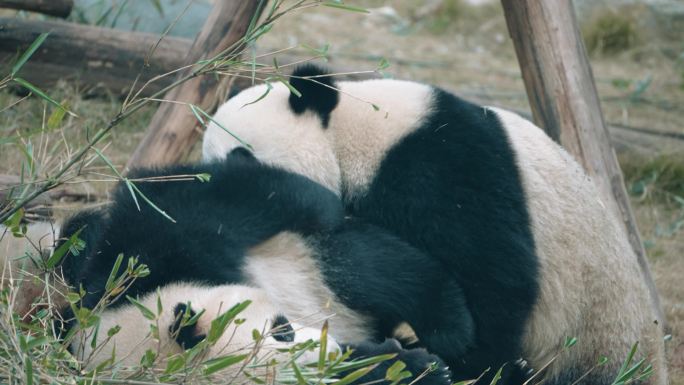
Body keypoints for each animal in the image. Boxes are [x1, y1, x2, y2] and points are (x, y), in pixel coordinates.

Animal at [199, 64, 668, 384]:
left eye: (241, 155)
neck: (355, 134)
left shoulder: (443, 166)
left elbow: (494, 275)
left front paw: (467, 361)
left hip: (594, 337)